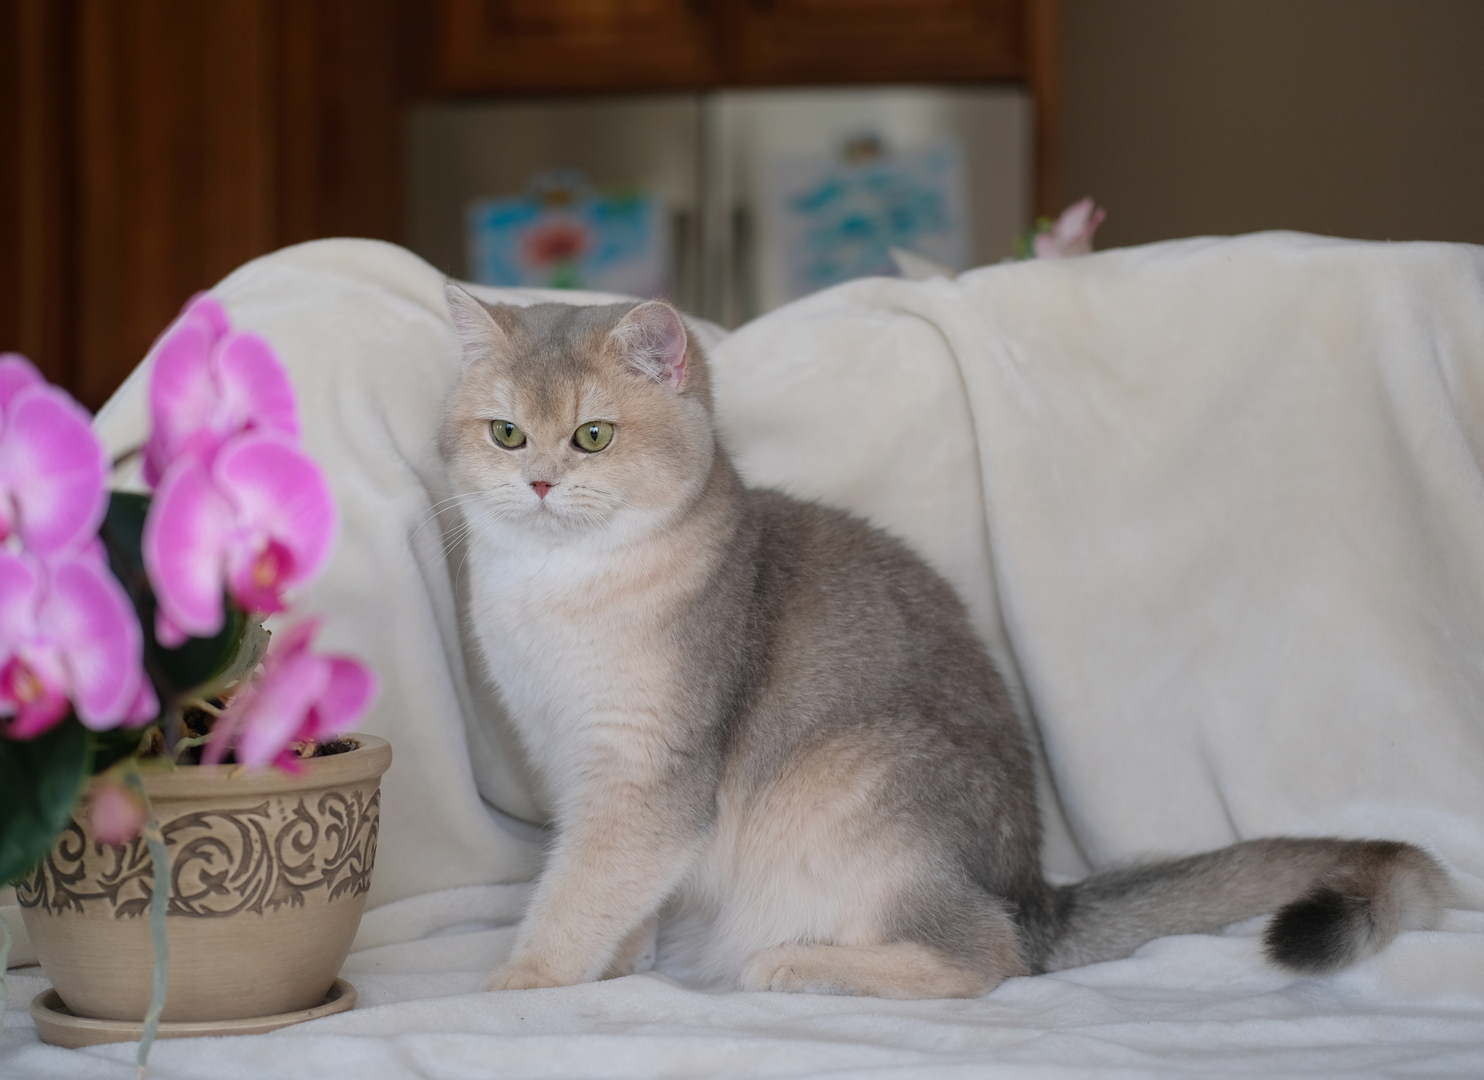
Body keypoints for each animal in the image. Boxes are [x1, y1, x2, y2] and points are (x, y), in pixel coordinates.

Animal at [433, 284, 1448, 996]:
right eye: (507, 433)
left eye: (593, 437)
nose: (539, 484)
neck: (556, 586)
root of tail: (1036, 892)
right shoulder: (575, 762)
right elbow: (615, 890)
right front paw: (618, 962)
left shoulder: (649, 773)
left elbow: (579, 888)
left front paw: (527, 981)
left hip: (853, 786)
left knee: (988, 954)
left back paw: (798, 963)